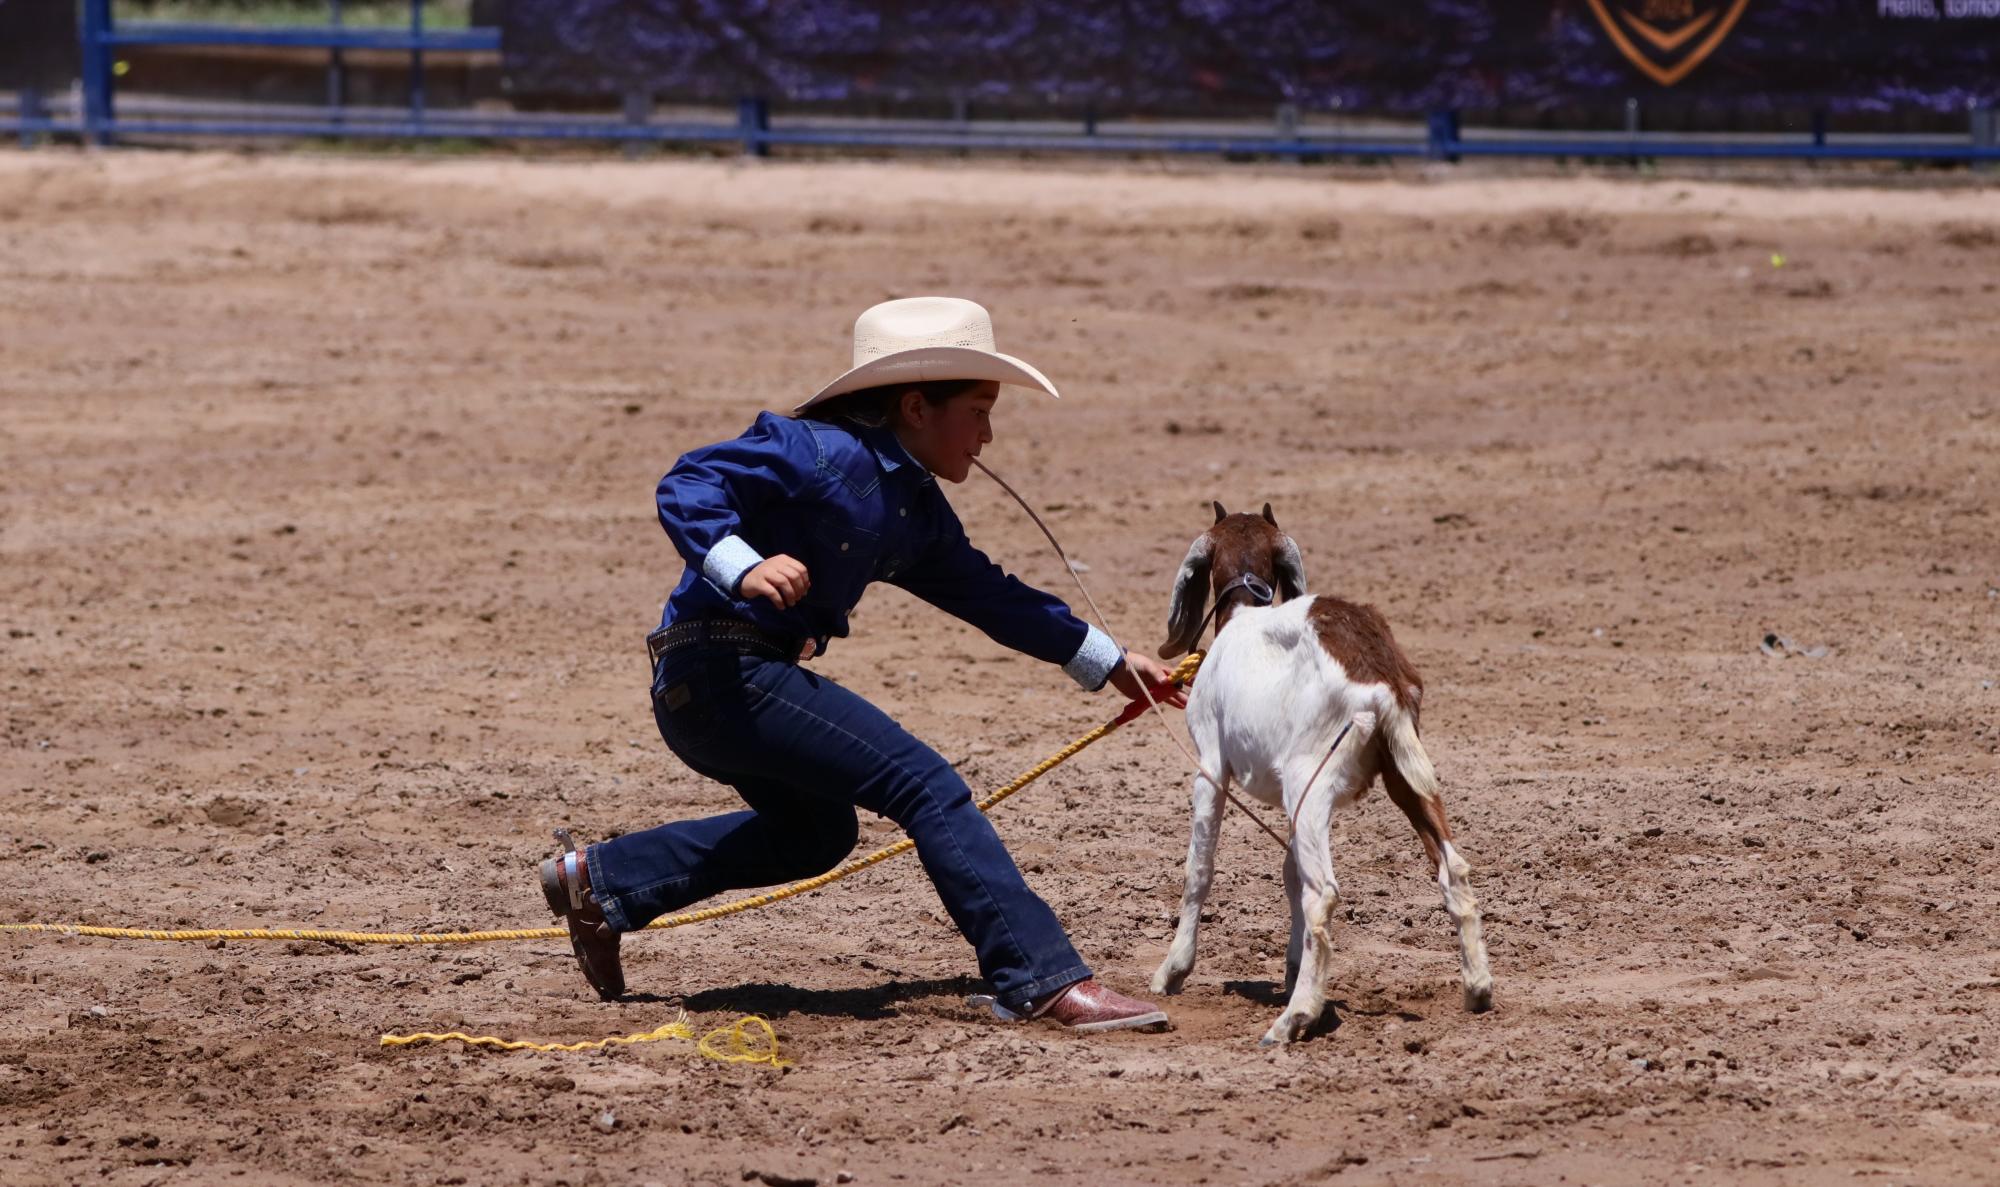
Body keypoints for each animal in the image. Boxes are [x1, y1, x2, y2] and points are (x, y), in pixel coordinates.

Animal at [1152, 499, 1496, 1047]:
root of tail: (1378, 677)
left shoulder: (1209, 765)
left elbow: (1199, 869)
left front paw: (1173, 971)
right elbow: (1289, 873)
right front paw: (1292, 969)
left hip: (1308, 787)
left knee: (1324, 894)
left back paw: (1294, 1019)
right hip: (1404, 778)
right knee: (1452, 868)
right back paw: (1478, 989)